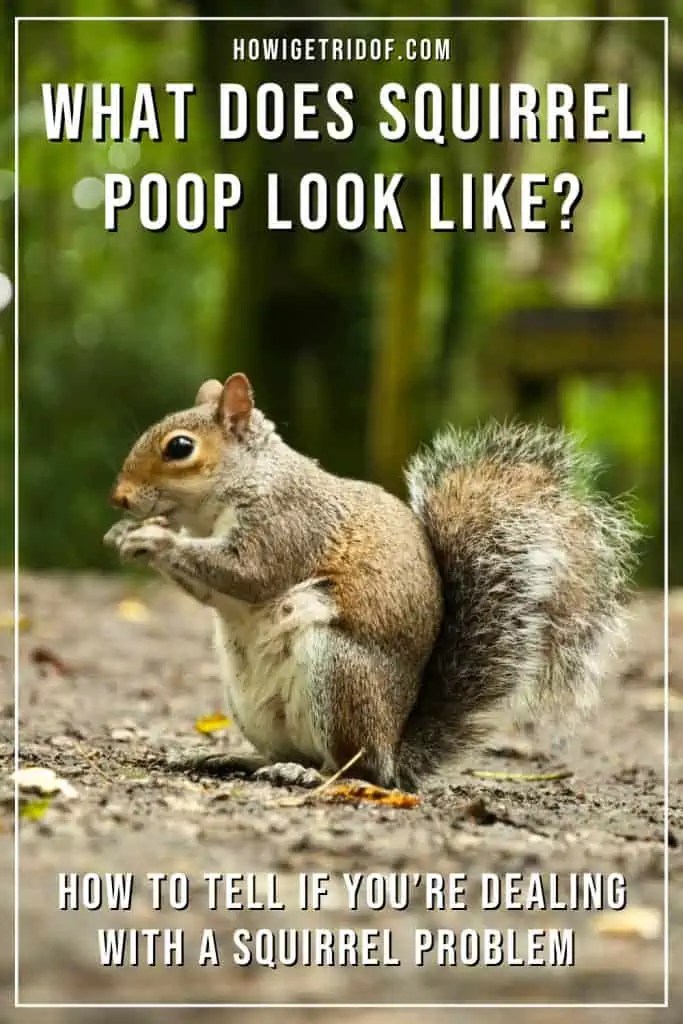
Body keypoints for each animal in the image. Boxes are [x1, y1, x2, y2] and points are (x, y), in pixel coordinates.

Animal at [105, 373, 638, 792]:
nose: (120, 499)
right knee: (290, 752)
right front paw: (127, 535)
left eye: (179, 448)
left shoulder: (290, 524)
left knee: (351, 770)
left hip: (340, 674)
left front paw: (154, 539)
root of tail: (392, 750)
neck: (245, 484)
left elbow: (249, 575)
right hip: (250, 704)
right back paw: (233, 757)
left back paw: (310, 775)